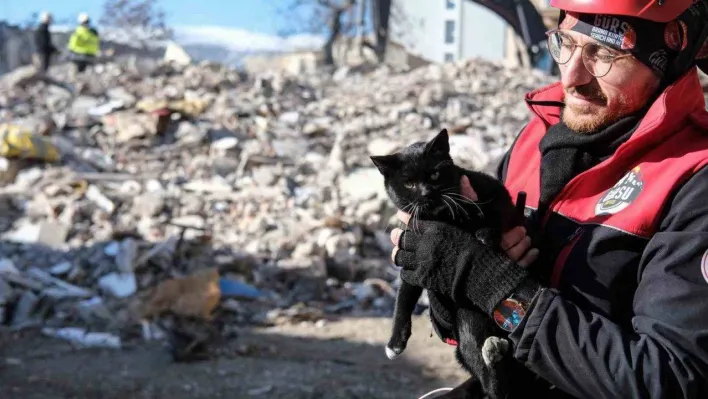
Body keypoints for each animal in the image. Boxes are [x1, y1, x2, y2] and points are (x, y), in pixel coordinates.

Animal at [370, 129, 524, 399]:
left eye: (434, 174)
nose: (425, 193)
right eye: (408, 183)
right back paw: (494, 353)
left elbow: (498, 210)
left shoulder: (489, 187)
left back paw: (493, 355)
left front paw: (485, 234)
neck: (440, 216)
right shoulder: (413, 257)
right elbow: (404, 297)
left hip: (470, 315)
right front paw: (395, 343)